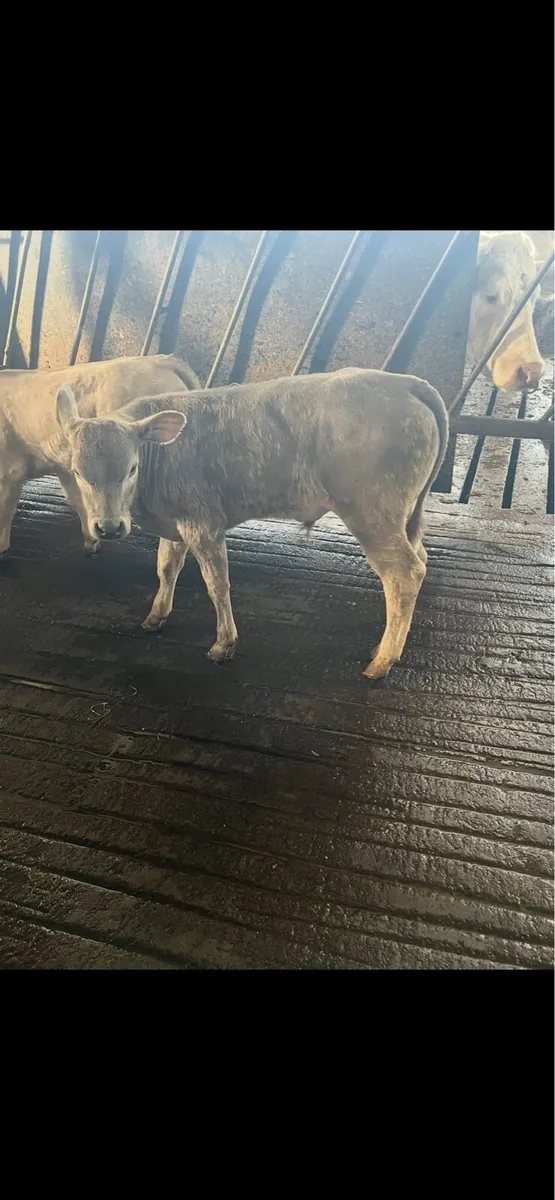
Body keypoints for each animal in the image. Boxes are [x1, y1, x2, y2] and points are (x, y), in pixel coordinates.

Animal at [54, 367, 448, 681]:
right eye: (79, 472)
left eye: (131, 468)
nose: (108, 527)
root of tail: (404, 381)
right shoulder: (176, 520)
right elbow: (166, 568)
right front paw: (156, 616)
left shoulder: (203, 523)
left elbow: (217, 584)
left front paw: (223, 644)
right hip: (402, 517)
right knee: (420, 557)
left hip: (372, 514)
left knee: (404, 574)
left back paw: (382, 662)